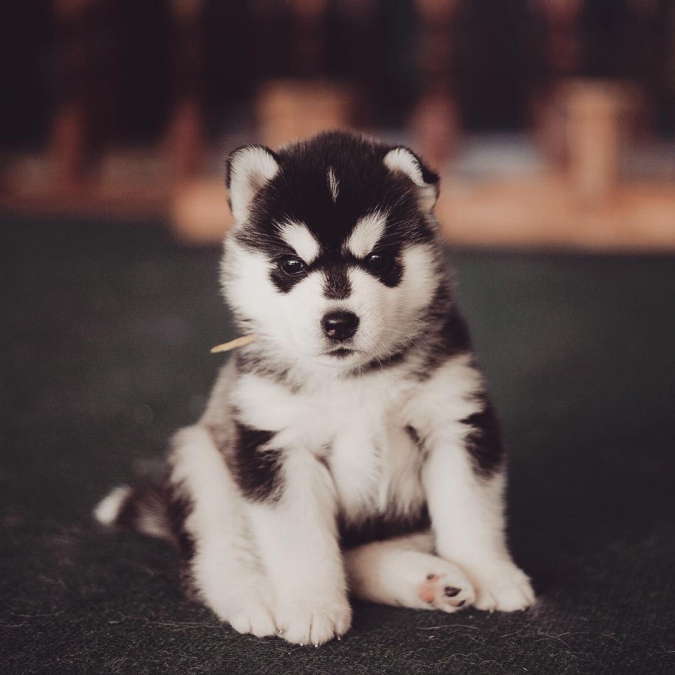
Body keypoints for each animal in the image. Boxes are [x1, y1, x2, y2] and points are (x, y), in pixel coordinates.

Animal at [95, 130, 535, 646]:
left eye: (379, 260)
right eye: (291, 264)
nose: (339, 322)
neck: (354, 381)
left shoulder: (454, 419)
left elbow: (470, 510)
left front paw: (491, 575)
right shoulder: (277, 444)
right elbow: (301, 540)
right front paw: (310, 607)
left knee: (356, 558)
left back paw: (430, 580)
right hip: (200, 460)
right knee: (220, 552)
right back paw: (257, 599)